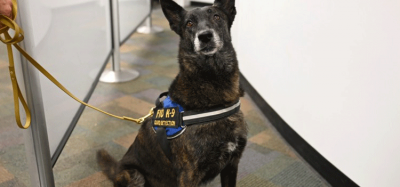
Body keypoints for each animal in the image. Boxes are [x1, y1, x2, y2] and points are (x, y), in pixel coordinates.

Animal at [97, 0, 247, 186]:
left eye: (216, 16)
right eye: (189, 23)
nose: (205, 36)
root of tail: (117, 169)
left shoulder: (232, 164)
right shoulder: (188, 175)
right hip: (133, 174)